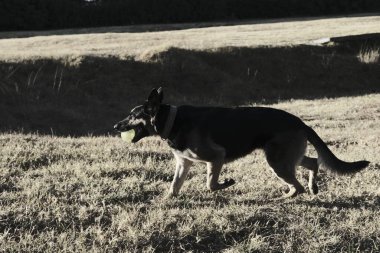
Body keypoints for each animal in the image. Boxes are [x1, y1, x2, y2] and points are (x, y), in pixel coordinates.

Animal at [114, 88, 370, 199]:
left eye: (132, 115)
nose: (116, 126)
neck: (172, 120)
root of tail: (299, 122)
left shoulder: (216, 157)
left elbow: (210, 184)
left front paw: (226, 183)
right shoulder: (183, 164)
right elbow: (174, 186)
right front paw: (168, 200)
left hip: (276, 162)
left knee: (296, 185)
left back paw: (285, 197)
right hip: (285, 157)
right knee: (313, 162)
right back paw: (312, 187)